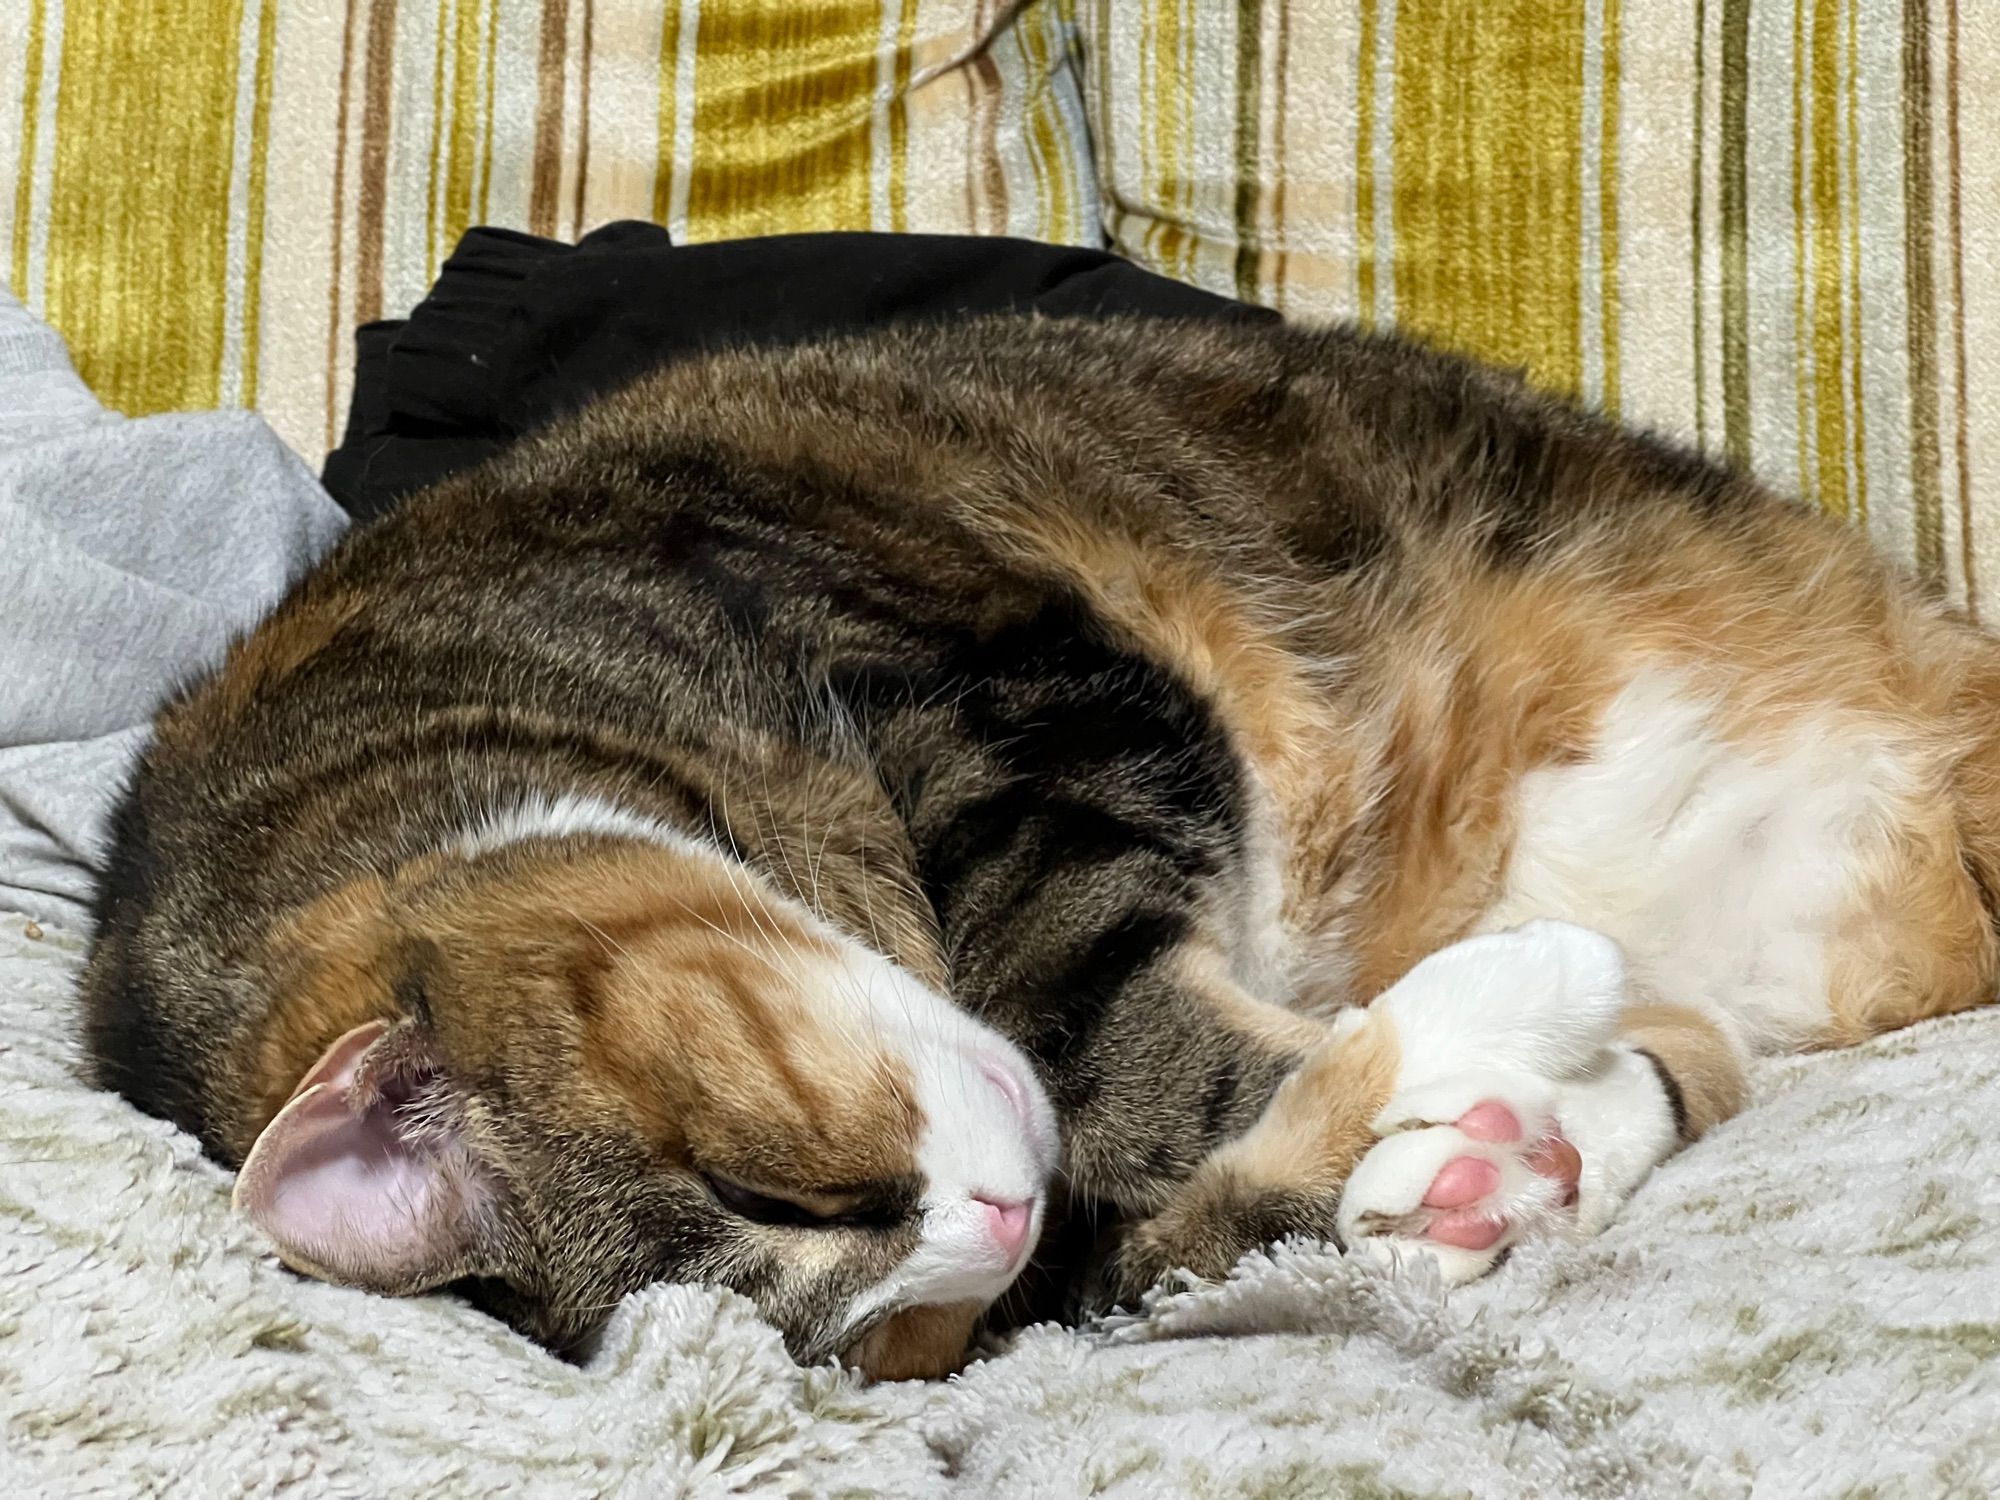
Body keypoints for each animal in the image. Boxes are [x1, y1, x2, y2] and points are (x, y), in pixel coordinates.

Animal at [86, 318, 2000, 1384]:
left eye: (779, 1188)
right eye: (883, 1333)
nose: (995, 1225)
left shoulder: (1008, 707)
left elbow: (1113, 1051)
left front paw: (1509, 1045)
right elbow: (1184, 1207)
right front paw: (1493, 1148)